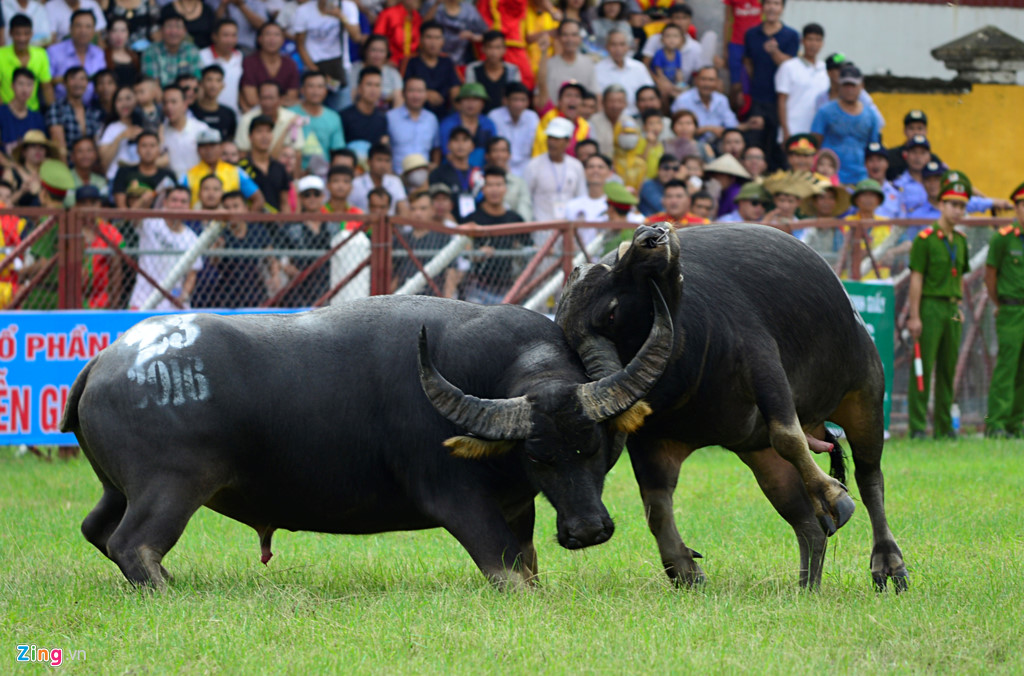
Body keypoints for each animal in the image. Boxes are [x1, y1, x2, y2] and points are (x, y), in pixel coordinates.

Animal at [61, 294, 671, 585]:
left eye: (597, 448)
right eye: (539, 456)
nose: (588, 530)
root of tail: (107, 360)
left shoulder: (518, 506)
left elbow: (528, 565)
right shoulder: (458, 501)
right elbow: (504, 569)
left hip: (117, 489)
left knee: (96, 529)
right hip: (171, 486)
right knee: (132, 543)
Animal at [561, 224, 905, 589]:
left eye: (614, 263)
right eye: (610, 312)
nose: (651, 234)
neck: (684, 362)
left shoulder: (764, 366)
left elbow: (788, 437)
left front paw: (835, 497)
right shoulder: (649, 441)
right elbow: (656, 506)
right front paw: (683, 568)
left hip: (864, 392)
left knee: (869, 478)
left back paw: (888, 563)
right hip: (762, 456)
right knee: (808, 523)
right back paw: (807, 585)